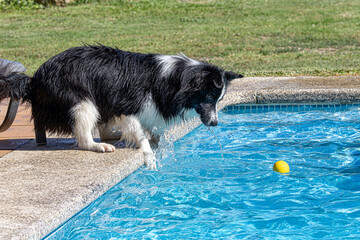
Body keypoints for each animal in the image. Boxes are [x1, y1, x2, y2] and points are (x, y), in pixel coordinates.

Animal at [0, 45, 243, 169]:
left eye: (218, 100)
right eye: (209, 98)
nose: (215, 123)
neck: (175, 79)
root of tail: (34, 80)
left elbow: (155, 131)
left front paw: (158, 144)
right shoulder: (127, 104)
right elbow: (140, 134)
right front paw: (150, 156)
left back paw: (113, 136)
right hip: (79, 99)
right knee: (83, 131)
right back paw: (98, 145)